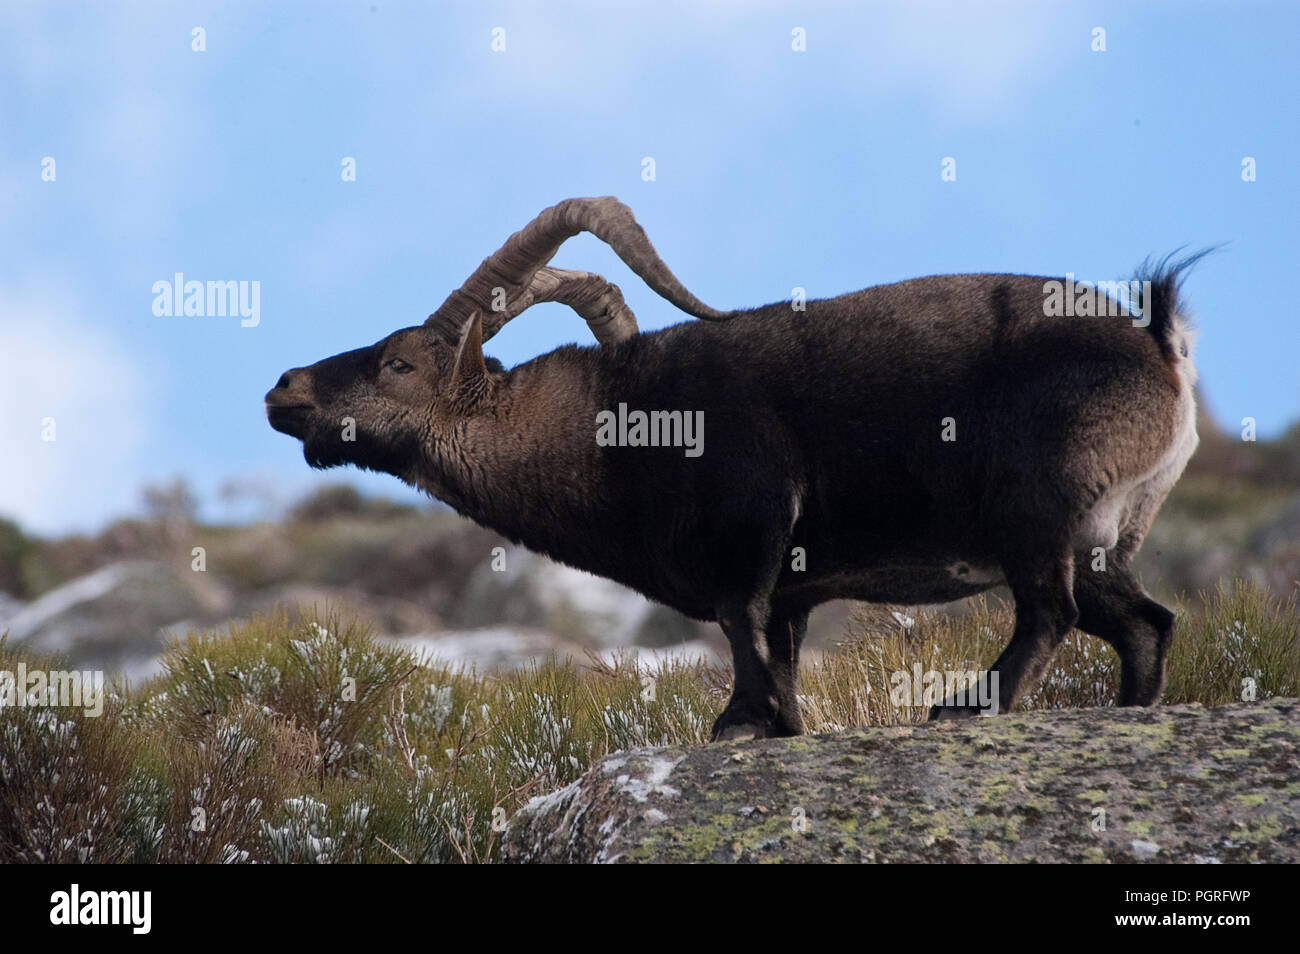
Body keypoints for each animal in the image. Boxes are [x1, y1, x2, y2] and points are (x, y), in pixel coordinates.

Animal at [266, 197, 1202, 741]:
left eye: (397, 364)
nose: (285, 390)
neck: (612, 428)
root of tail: (1159, 342)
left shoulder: (753, 525)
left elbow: (738, 625)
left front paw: (741, 723)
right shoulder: (792, 588)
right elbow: (775, 647)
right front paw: (774, 722)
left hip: (1033, 512)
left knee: (1051, 612)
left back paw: (969, 706)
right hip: (1100, 536)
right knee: (1143, 622)